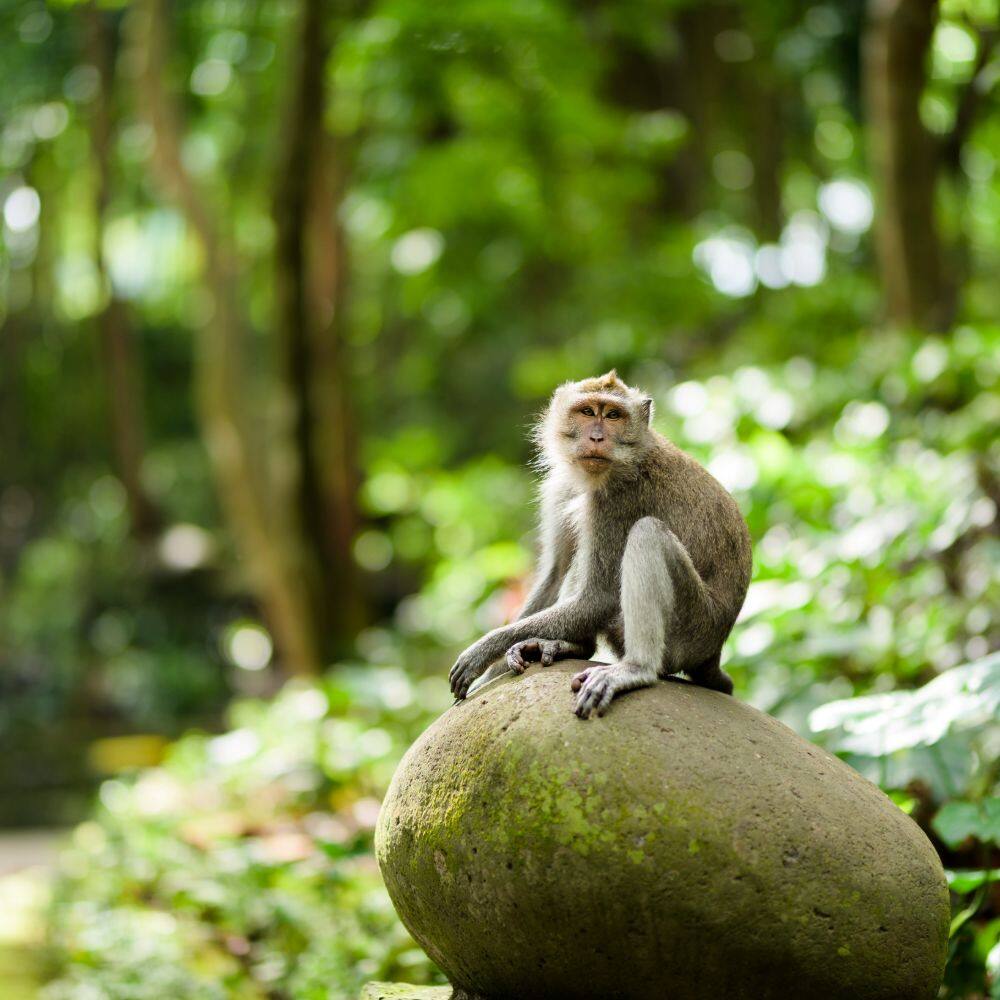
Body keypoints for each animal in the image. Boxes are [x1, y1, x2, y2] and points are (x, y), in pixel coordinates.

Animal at [448, 370, 752, 718]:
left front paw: (482, 651)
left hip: (691, 629)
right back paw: (569, 646)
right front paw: (491, 672)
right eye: (587, 412)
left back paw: (635, 669)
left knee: (647, 534)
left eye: (613, 416)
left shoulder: (619, 500)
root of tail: (714, 652)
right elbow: (554, 574)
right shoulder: (561, 486)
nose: (596, 438)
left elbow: (598, 597)